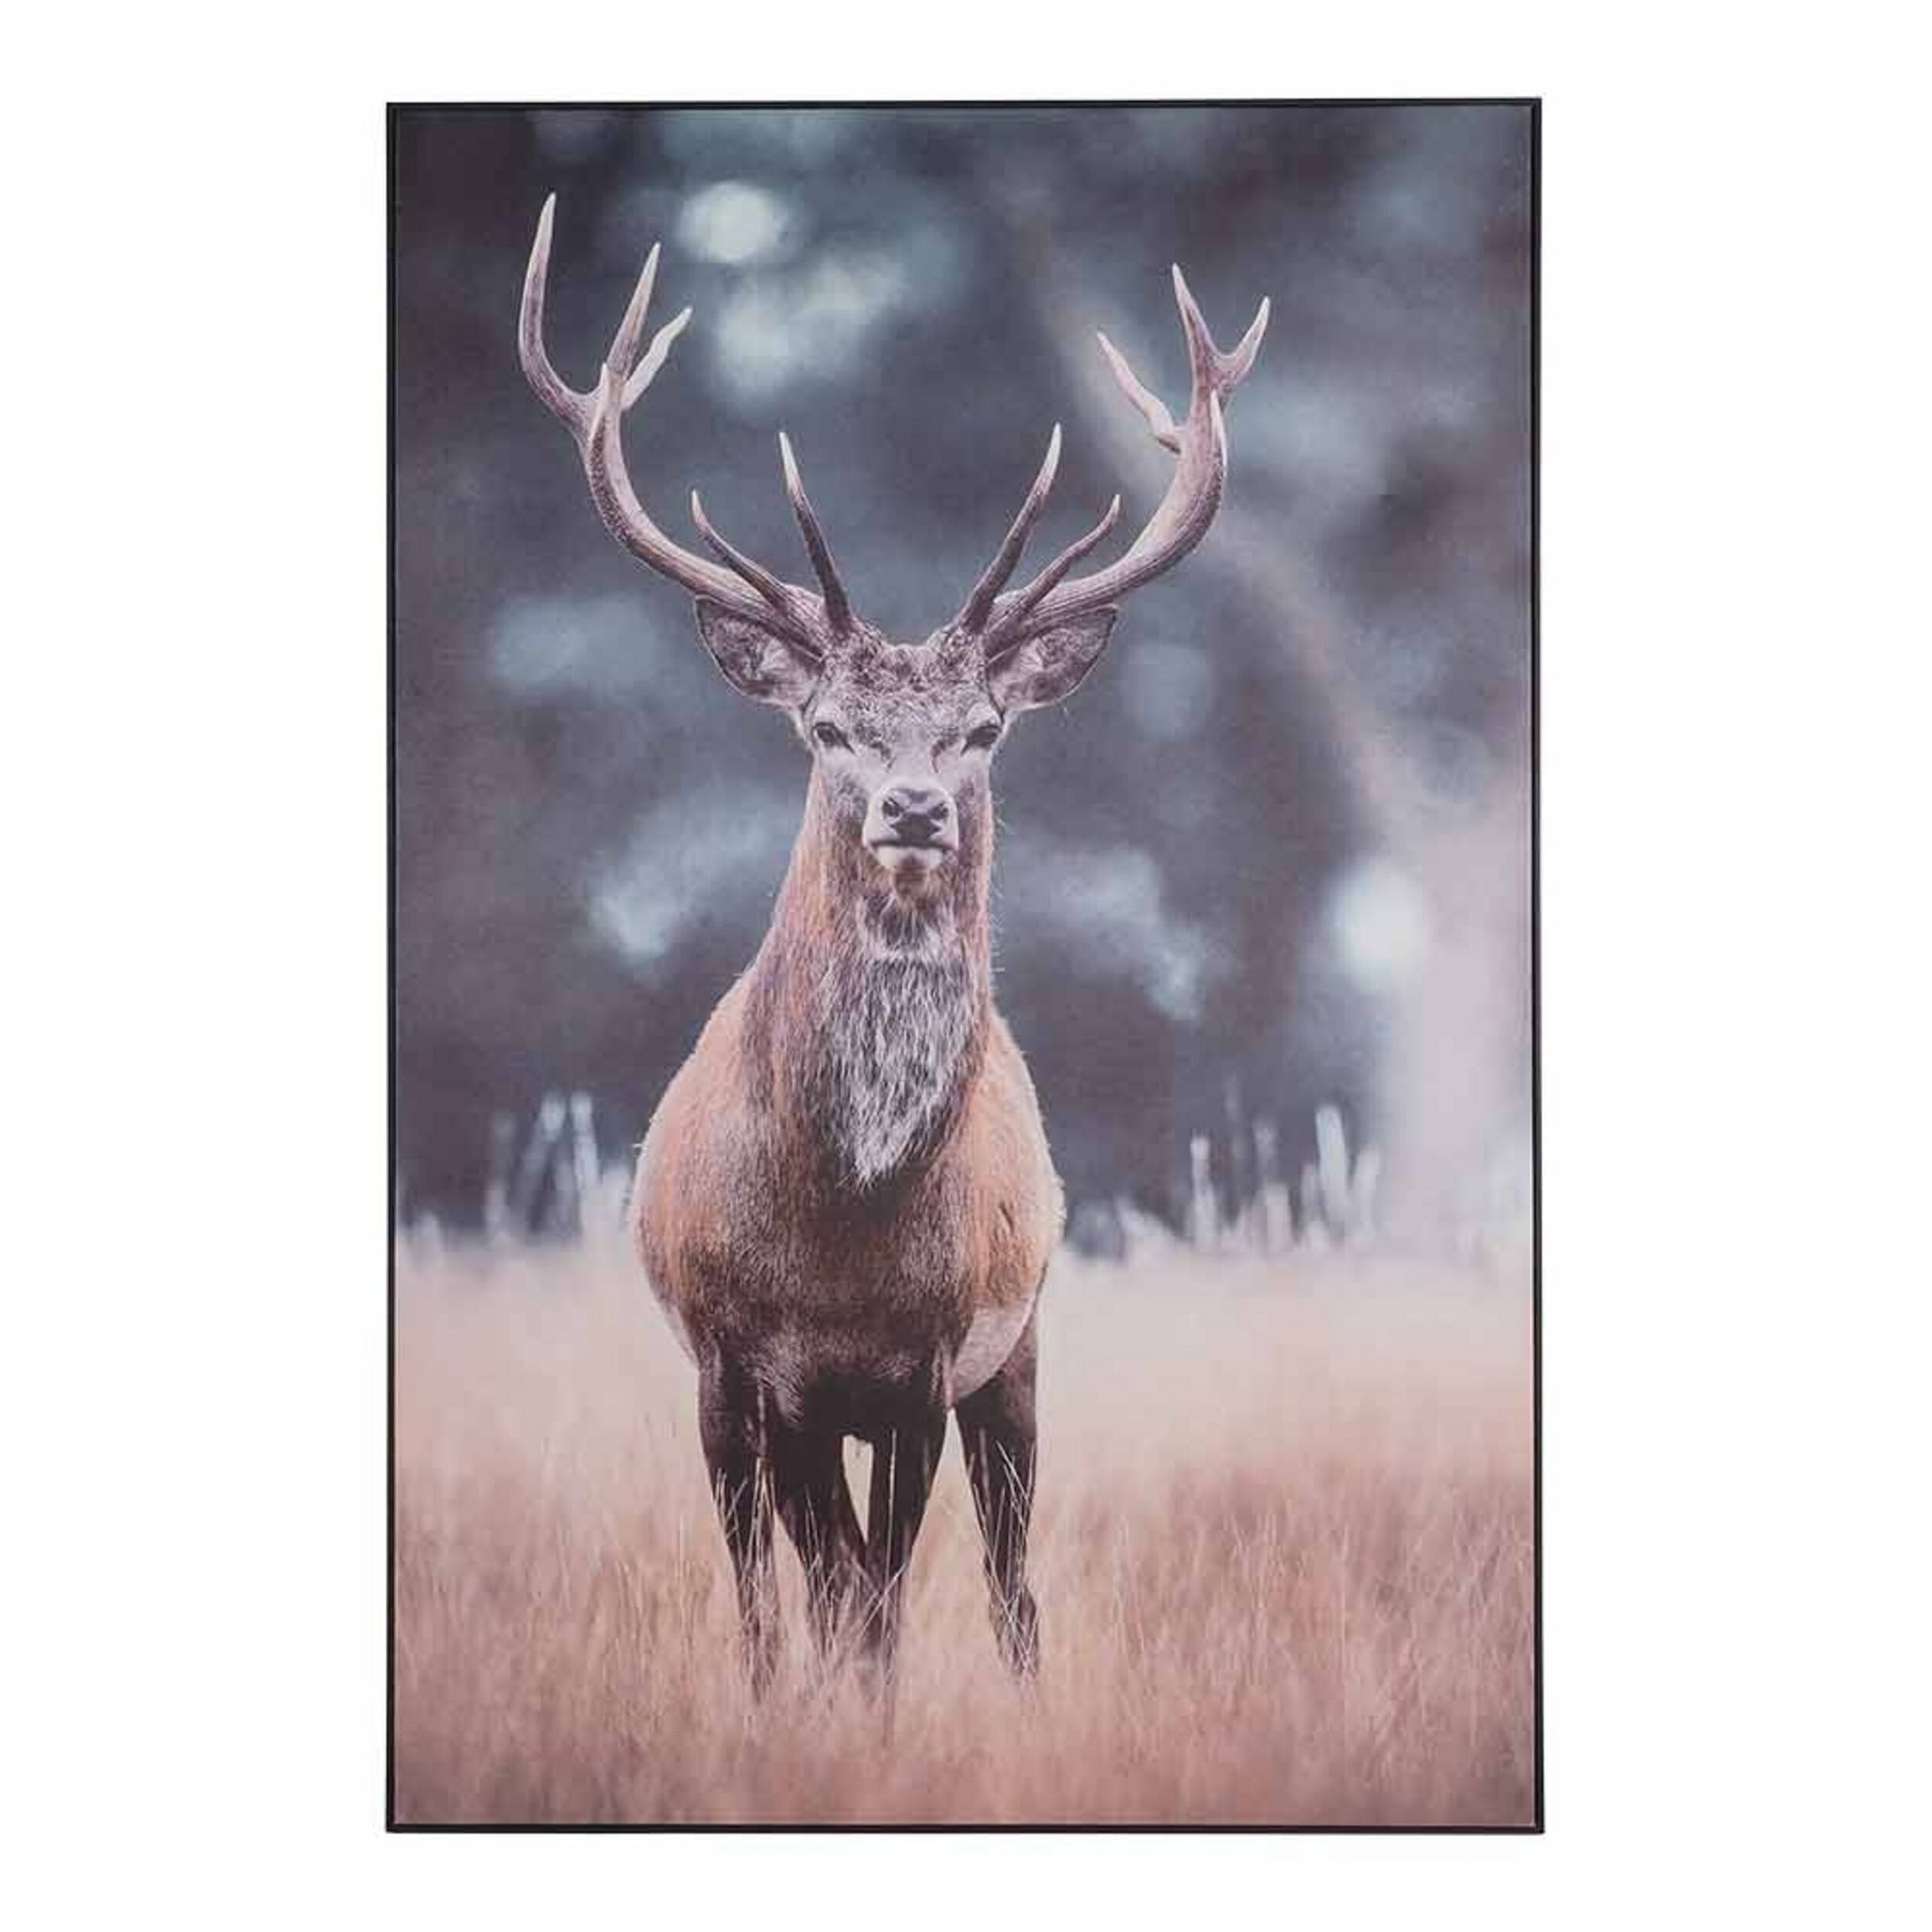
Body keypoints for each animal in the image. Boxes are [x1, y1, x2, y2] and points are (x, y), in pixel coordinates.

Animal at [518, 194, 1267, 1694]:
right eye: (827, 728)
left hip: (1019, 1352)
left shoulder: (927, 1359)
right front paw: (795, 1714)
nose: (913, 806)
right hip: (769, 1409)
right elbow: (807, 1596)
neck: (842, 1228)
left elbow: (886, 1599)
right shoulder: (742, 1358)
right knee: (786, 1580)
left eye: (981, 728)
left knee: (1008, 1578)